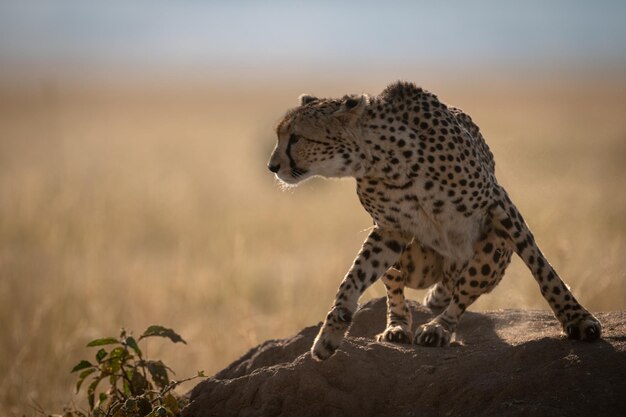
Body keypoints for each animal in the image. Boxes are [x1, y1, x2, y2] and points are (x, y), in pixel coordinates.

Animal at [266, 81, 600, 360]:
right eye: (280, 135)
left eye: (296, 137)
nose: (272, 166)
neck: (383, 159)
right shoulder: (390, 230)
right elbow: (353, 278)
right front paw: (330, 334)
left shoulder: (499, 204)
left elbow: (542, 267)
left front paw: (577, 318)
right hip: (414, 263)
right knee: (400, 286)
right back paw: (399, 327)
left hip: (492, 253)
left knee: (465, 289)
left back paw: (438, 327)